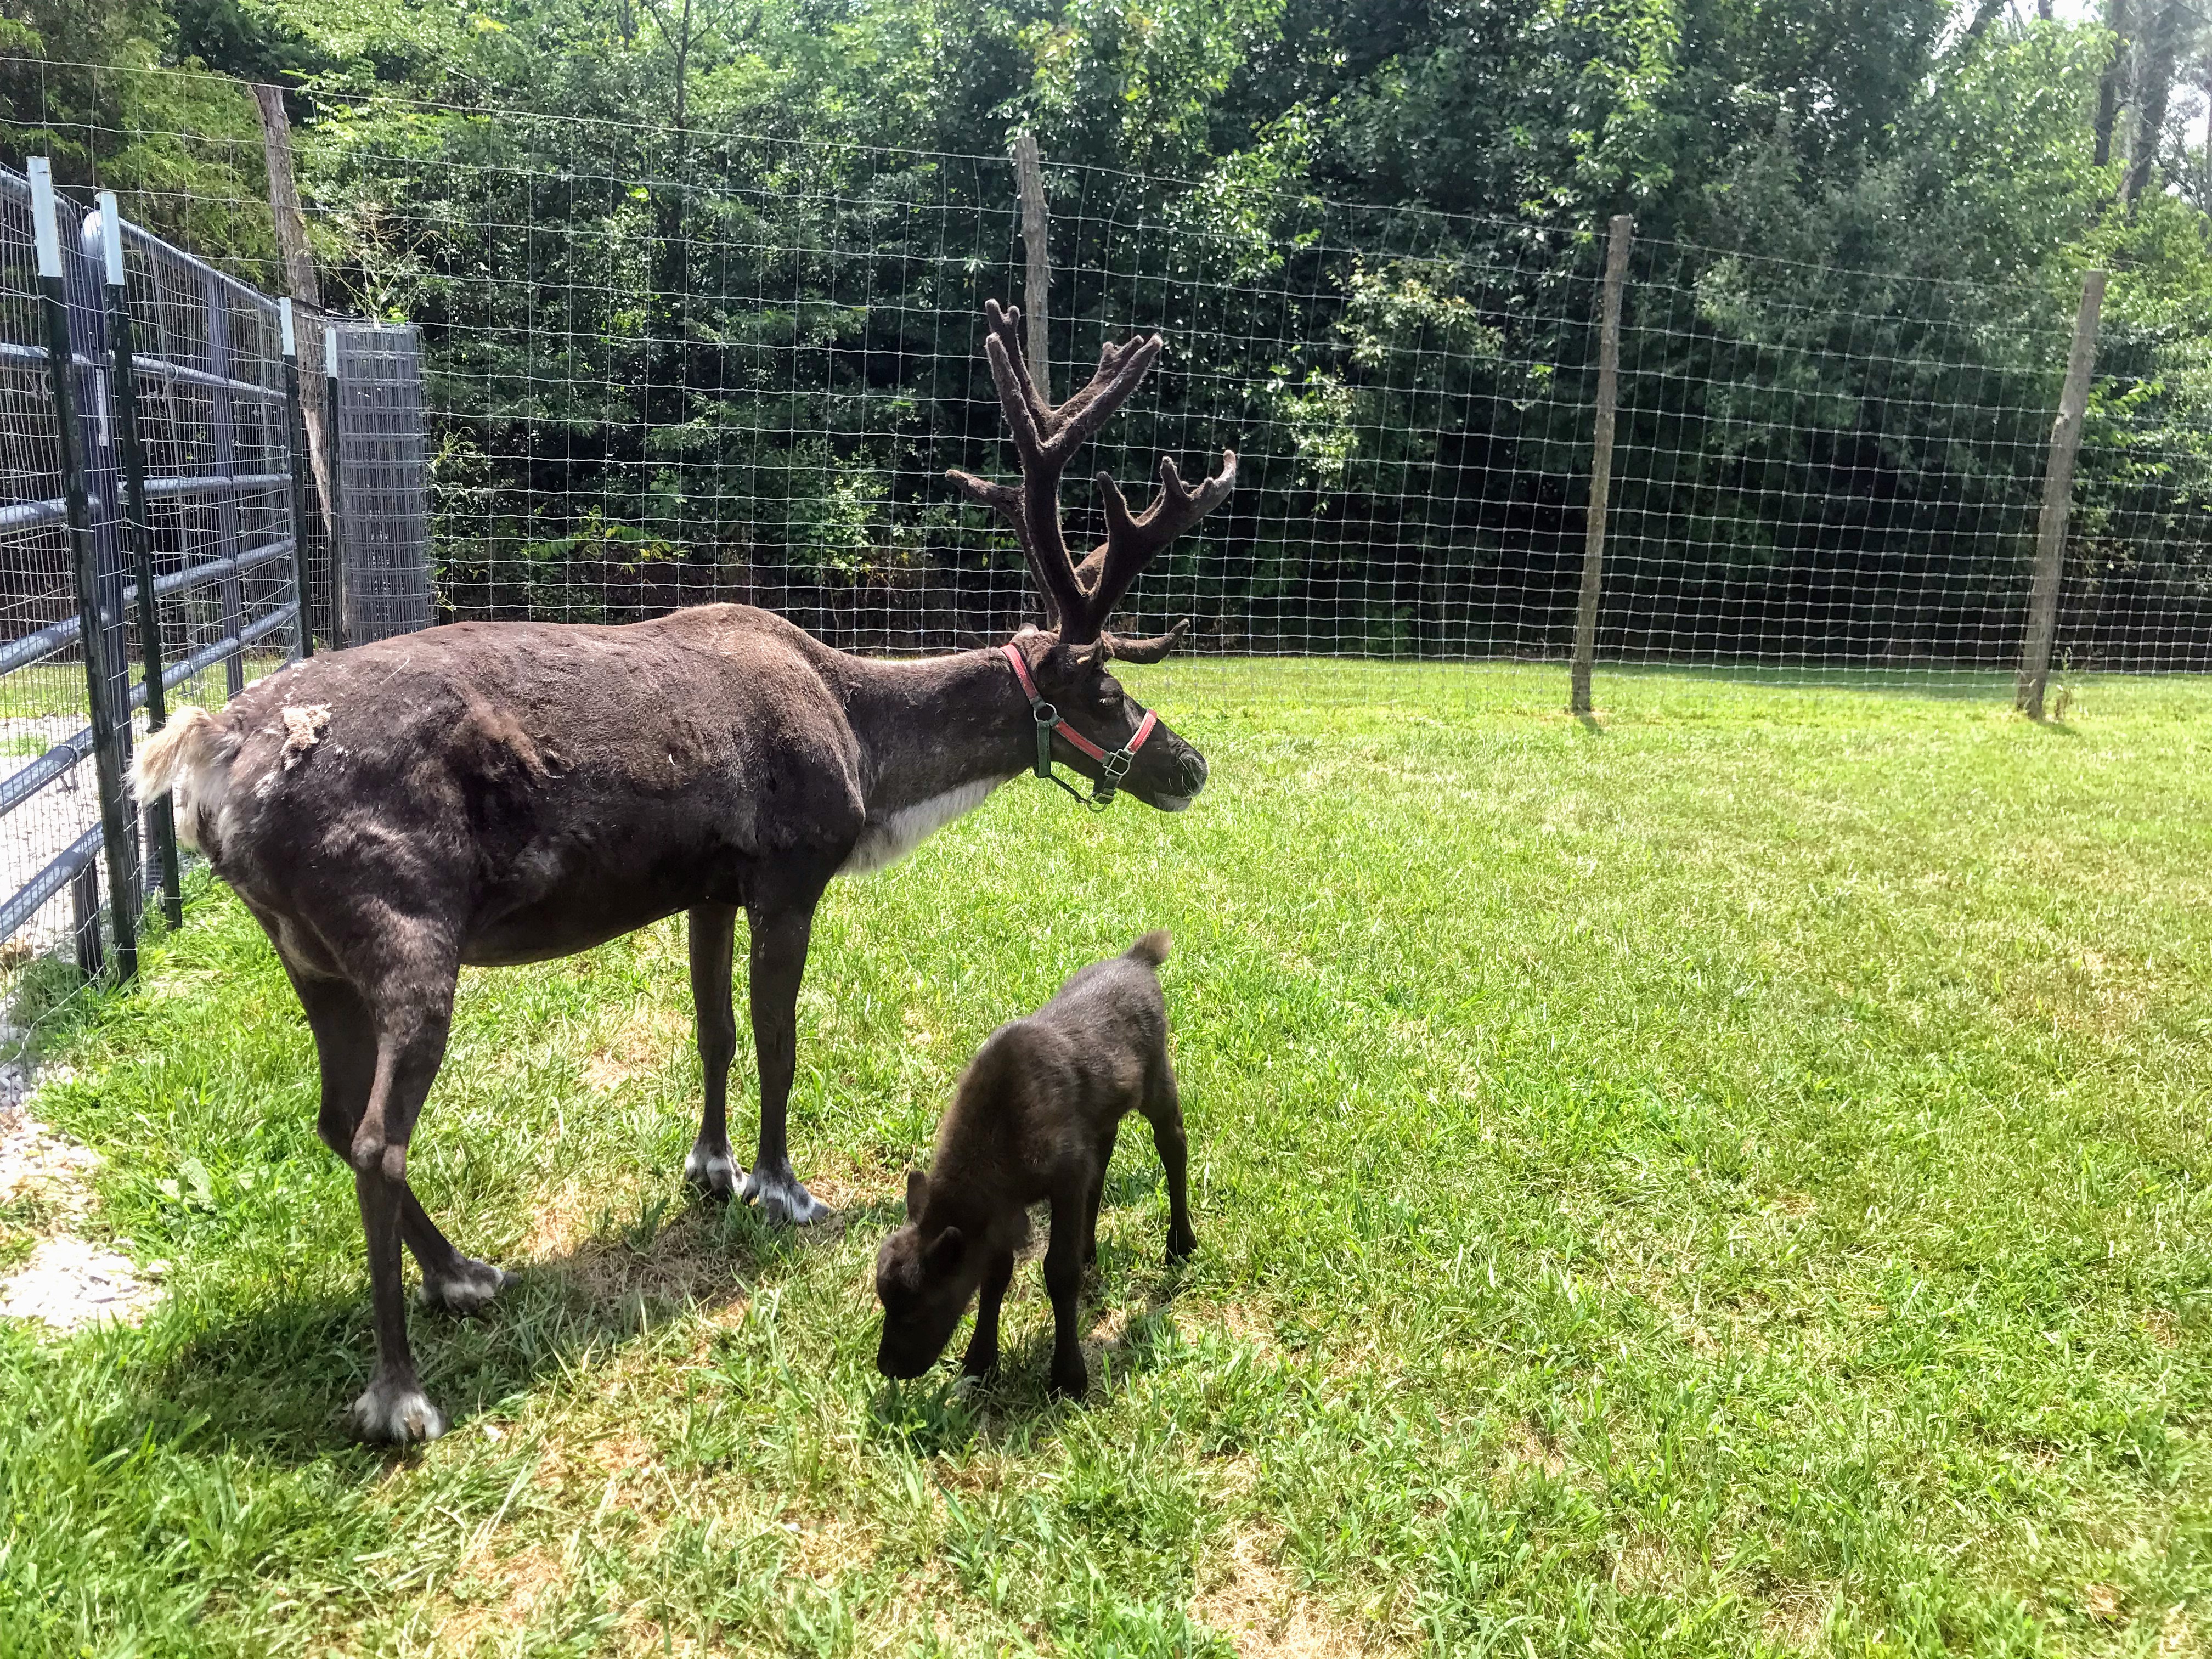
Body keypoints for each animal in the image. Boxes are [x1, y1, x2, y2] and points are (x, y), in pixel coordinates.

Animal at [131, 300, 1235, 1443]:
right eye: (1103, 689)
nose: (1190, 764)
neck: (867, 747)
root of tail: (204, 750)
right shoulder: (791, 872)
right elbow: (780, 1039)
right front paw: (782, 1186)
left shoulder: (707, 887)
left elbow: (714, 1032)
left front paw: (711, 1166)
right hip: (403, 932)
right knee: (378, 1140)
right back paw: (401, 1388)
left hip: (308, 952)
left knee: (335, 1119)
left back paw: (465, 1271)